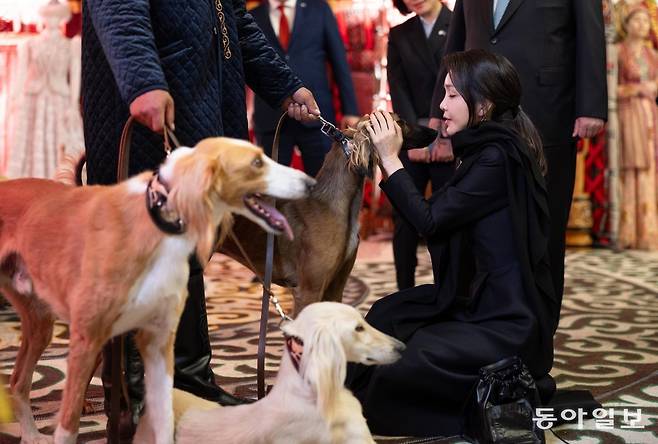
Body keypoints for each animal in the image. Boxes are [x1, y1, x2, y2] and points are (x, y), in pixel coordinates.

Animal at [0, 139, 316, 444]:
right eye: (256, 162)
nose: (309, 183)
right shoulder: (87, 338)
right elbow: (69, 425)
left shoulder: (157, 340)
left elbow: (164, 417)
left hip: (40, 322)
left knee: (18, 381)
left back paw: (31, 434)